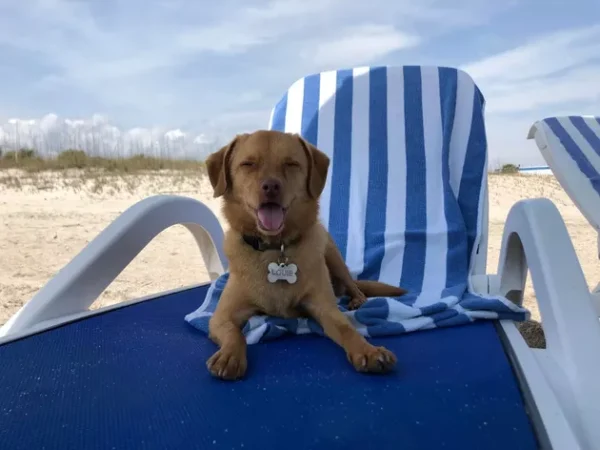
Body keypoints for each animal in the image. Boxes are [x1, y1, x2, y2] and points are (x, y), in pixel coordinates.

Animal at [204, 129, 406, 380]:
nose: (271, 186)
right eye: (248, 164)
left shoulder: (326, 309)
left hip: (332, 254)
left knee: (354, 285)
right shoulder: (221, 317)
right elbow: (235, 333)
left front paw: (368, 351)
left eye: (291, 164)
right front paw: (230, 355)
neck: (275, 247)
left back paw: (357, 299)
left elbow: (347, 330)